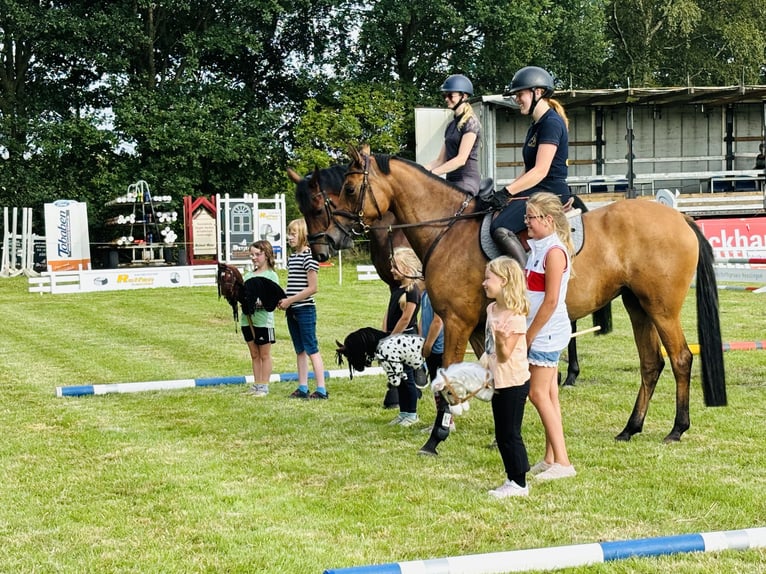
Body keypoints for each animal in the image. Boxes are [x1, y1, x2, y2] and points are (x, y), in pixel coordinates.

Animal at [322, 146, 728, 452]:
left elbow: (448, 375)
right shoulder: (479, 325)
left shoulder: (456, 320)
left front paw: (437, 437)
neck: (447, 230)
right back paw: (631, 427)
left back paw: (676, 428)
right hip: (636, 305)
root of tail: (679, 217)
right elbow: (491, 376)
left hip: (661, 307)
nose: (330, 239)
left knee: (680, 358)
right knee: (650, 364)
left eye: (350, 187)